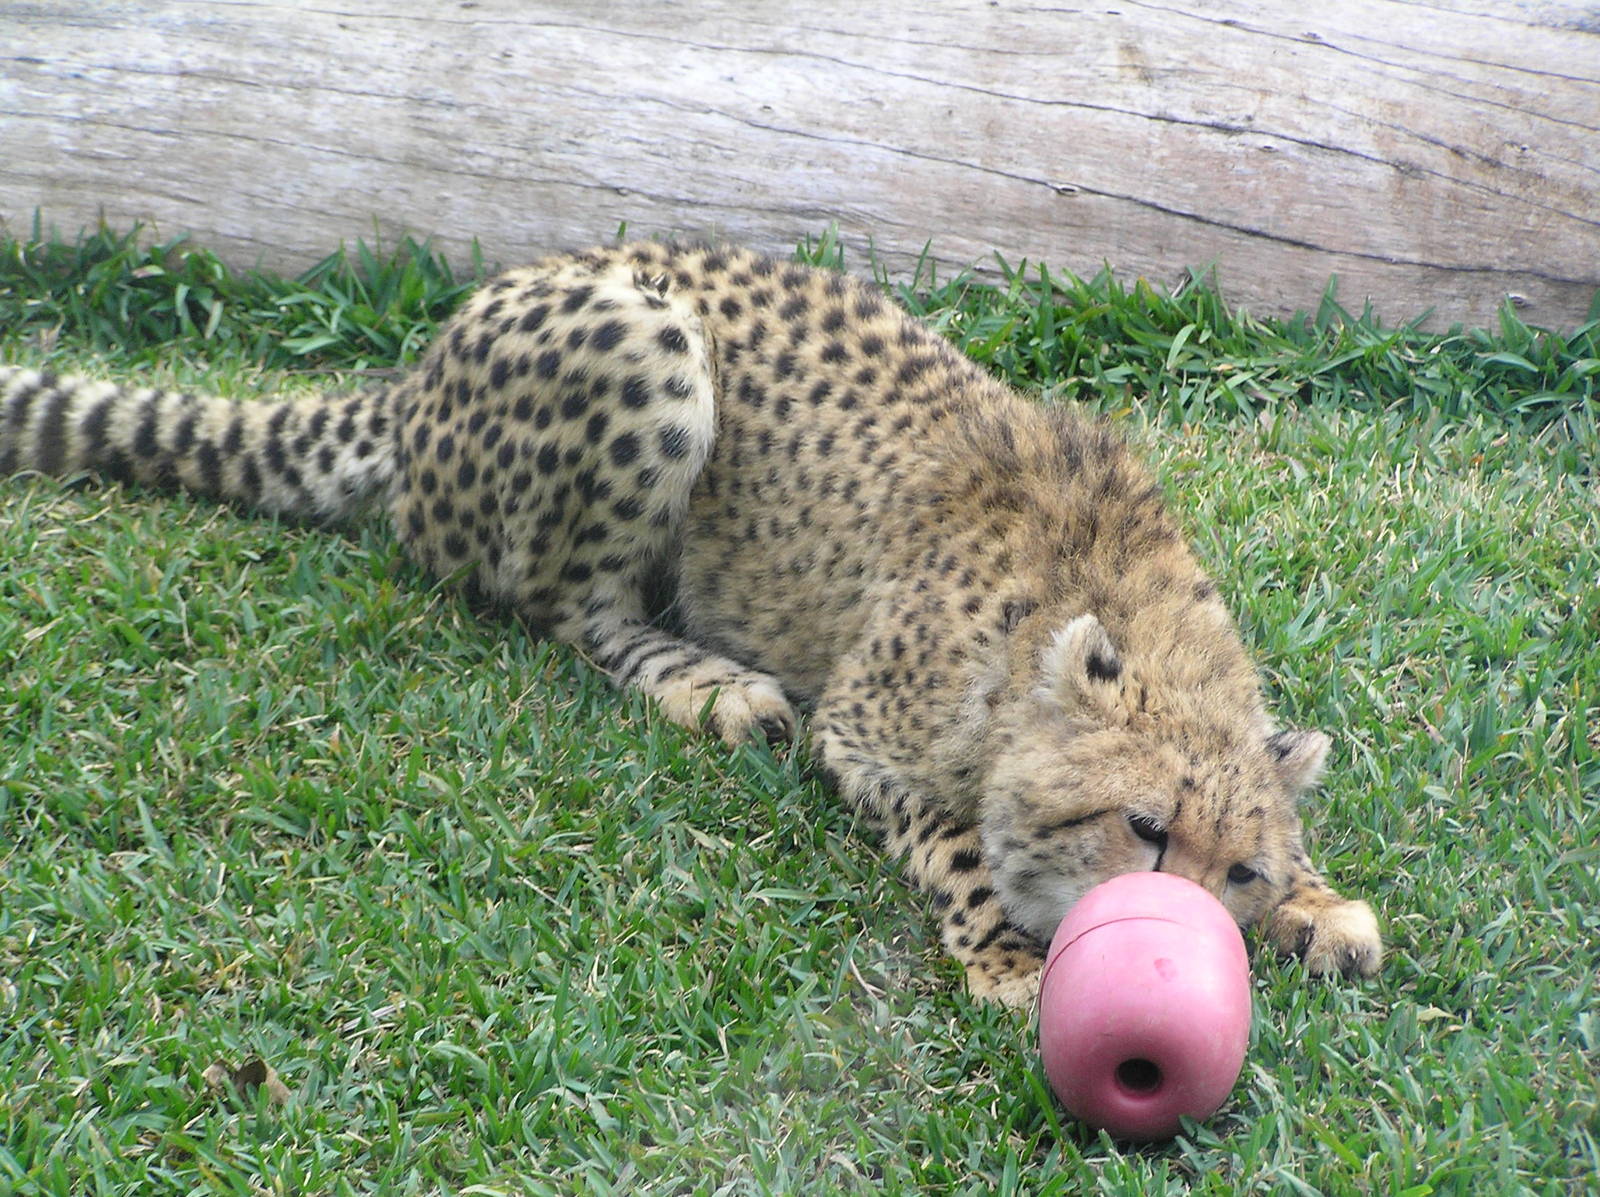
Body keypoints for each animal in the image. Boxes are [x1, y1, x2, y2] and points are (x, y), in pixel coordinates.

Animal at [0, 240, 1382, 1006]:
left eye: (1237, 870)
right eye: (1141, 829)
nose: (1189, 932)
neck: (1109, 595)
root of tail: (424, 363)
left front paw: (1319, 906)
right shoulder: (863, 730)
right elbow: (955, 837)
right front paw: (1000, 952)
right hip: (644, 337)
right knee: (558, 603)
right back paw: (704, 682)